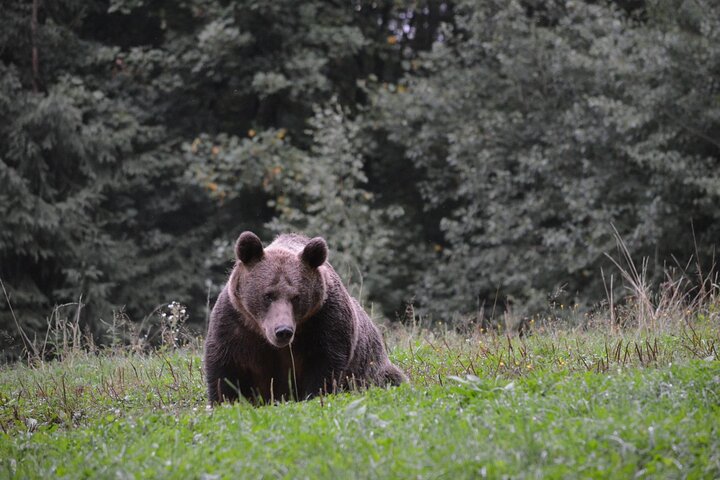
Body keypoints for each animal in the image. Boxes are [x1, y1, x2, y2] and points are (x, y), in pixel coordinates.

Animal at [204, 231, 407, 404]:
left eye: (296, 297)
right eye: (268, 295)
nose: (283, 331)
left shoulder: (324, 321)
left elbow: (324, 366)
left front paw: (315, 396)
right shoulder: (236, 324)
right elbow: (225, 370)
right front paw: (226, 401)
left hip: (374, 368)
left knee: (391, 378)